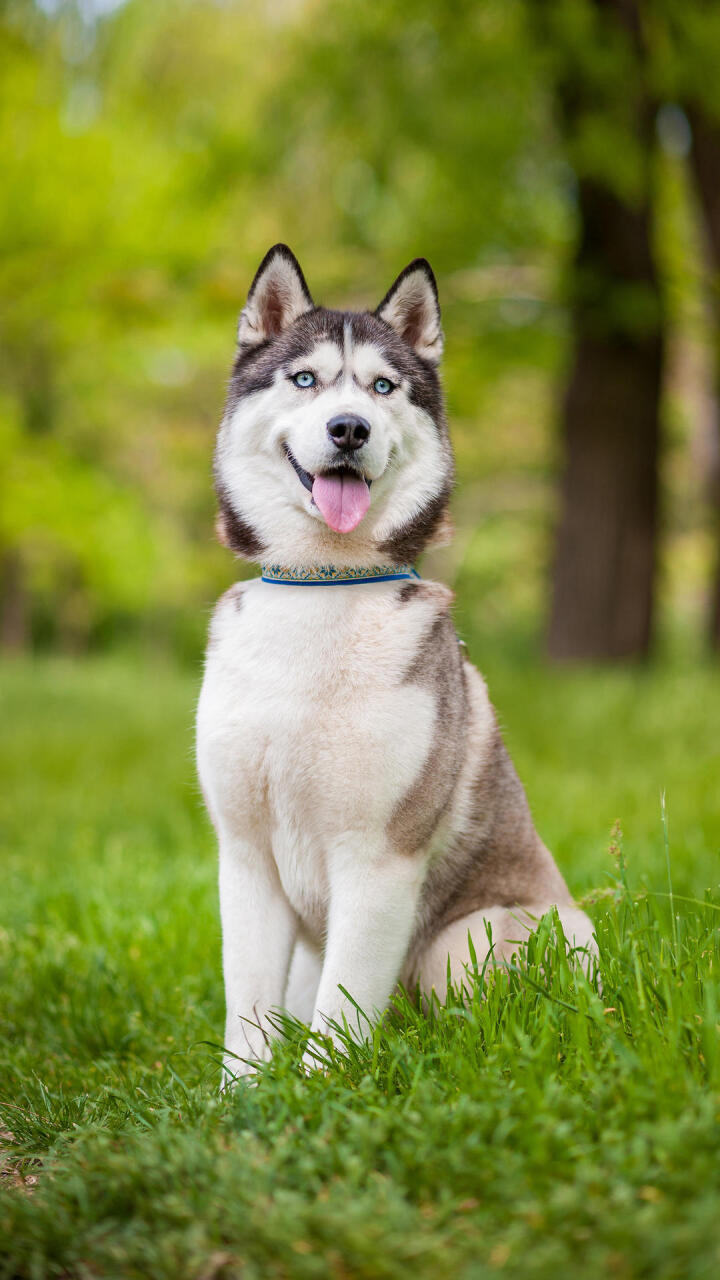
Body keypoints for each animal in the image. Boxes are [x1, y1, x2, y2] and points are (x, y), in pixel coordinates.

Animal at [196, 241, 594, 1080]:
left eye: (383, 387)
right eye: (305, 379)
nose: (349, 427)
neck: (322, 589)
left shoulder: (379, 857)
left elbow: (344, 1008)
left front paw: (320, 1094)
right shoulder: (244, 856)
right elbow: (246, 1008)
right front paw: (237, 1098)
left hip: (478, 939)